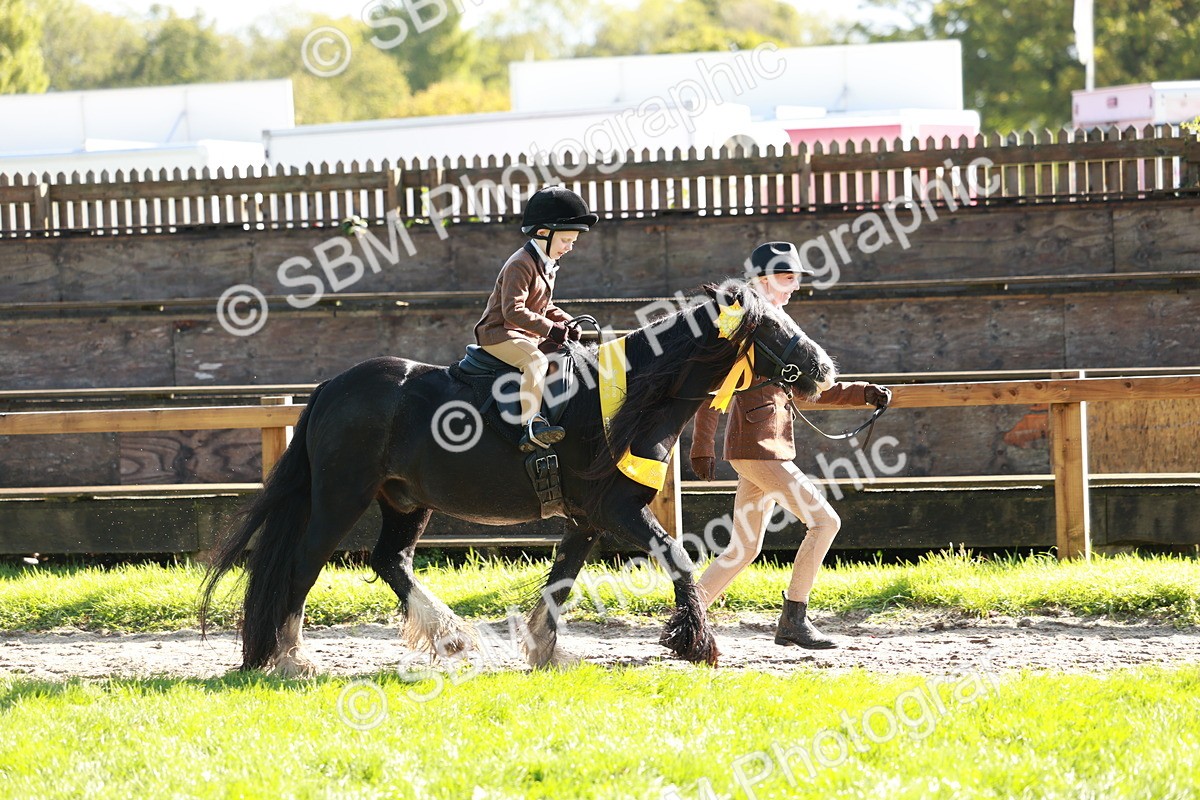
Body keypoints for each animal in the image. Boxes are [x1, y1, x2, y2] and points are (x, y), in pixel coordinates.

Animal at [199, 281, 836, 675]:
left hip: (404, 500)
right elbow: (678, 558)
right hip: (340, 498)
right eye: (771, 328)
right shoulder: (617, 512)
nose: (823, 370)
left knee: (390, 561)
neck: (629, 399)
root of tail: (333, 386)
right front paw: (697, 644)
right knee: (302, 564)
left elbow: (562, 581)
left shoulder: (586, 519)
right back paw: (290, 657)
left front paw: (544, 651)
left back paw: (450, 635)